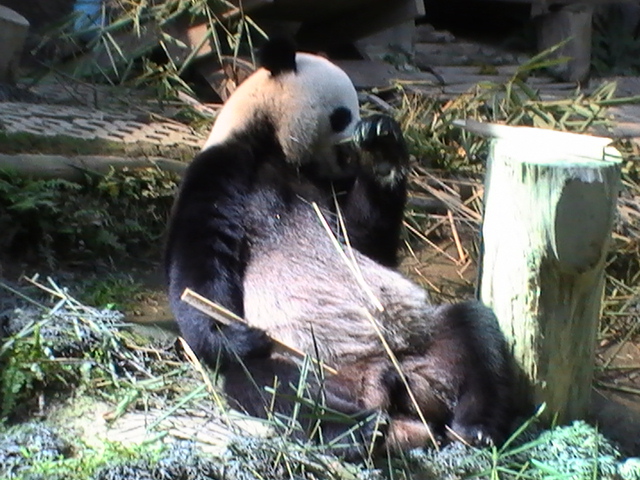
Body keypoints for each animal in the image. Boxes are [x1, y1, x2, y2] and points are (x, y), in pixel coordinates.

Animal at [165, 36, 516, 458]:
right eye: (341, 115)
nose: (355, 142)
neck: (277, 150)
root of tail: (388, 381)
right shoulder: (223, 171)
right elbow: (199, 269)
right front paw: (234, 336)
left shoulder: (329, 191)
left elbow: (364, 242)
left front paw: (382, 148)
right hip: (306, 358)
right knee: (275, 389)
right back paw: (359, 429)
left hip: (424, 340)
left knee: (474, 335)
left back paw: (473, 428)